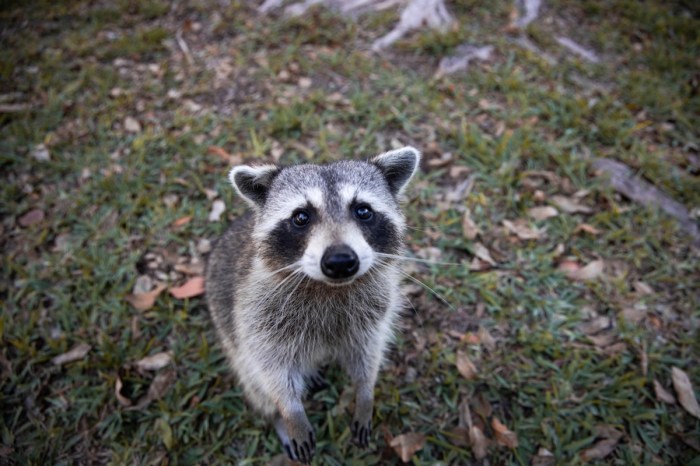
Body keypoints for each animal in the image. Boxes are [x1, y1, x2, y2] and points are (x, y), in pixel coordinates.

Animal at [205, 146, 420, 463]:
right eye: (301, 217)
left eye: (363, 211)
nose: (340, 261)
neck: (329, 289)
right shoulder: (257, 315)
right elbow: (270, 369)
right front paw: (290, 413)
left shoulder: (373, 313)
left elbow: (368, 354)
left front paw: (365, 394)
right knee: (254, 380)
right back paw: (278, 417)